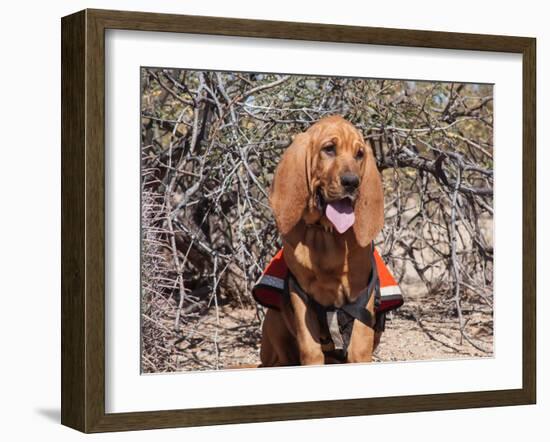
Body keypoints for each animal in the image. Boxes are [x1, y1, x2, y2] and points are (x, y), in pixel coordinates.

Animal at [260, 114, 386, 366]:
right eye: (329, 149)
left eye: (360, 154)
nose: (352, 182)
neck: (326, 233)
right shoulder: (300, 295)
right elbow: (311, 350)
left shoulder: (362, 296)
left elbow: (359, 348)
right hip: (274, 321)